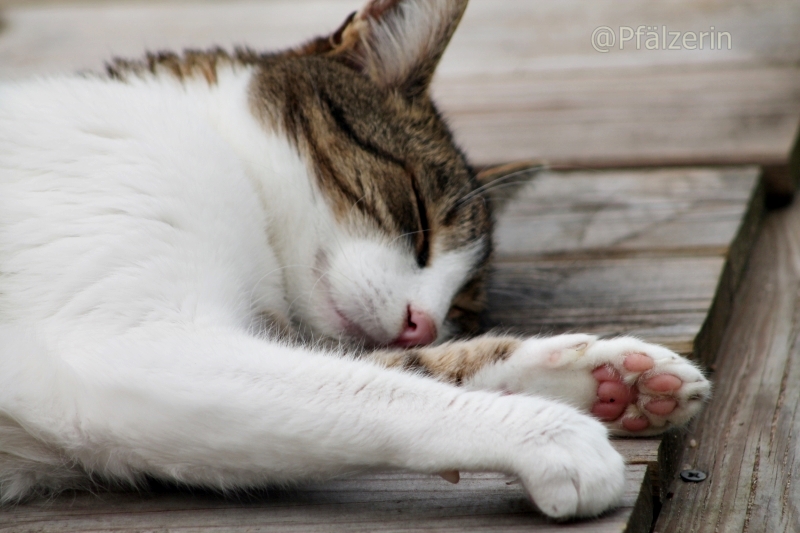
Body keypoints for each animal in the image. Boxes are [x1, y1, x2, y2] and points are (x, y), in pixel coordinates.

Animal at [0, 0, 712, 520]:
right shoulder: (129, 346)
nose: (424, 321)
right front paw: (551, 432)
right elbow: (371, 388)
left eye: (461, 306)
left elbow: (400, 369)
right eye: (418, 218)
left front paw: (614, 378)